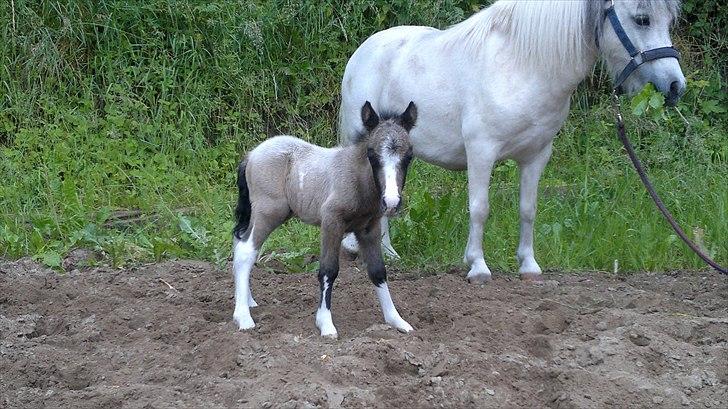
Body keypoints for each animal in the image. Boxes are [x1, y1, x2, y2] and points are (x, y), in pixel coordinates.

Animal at [230, 100, 418, 336]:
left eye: (408, 156)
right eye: (372, 154)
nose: (391, 202)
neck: (356, 179)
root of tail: (251, 154)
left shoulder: (369, 229)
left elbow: (378, 271)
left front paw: (396, 320)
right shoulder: (331, 222)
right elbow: (329, 270)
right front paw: (326, 324)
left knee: (242, 242)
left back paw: (248, 301)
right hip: (269, 212)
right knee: (246, 251)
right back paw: (243, 317)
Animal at [338, 0, 684, 282]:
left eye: (668, 20)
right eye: (642, 19)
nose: (675, 86)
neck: (523, 67)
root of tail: (365, 49)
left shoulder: (536, 155)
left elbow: (528, 208)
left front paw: (528, 266)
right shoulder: (481, 151)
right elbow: (480, 208)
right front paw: (477, 267)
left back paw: (387, 253)